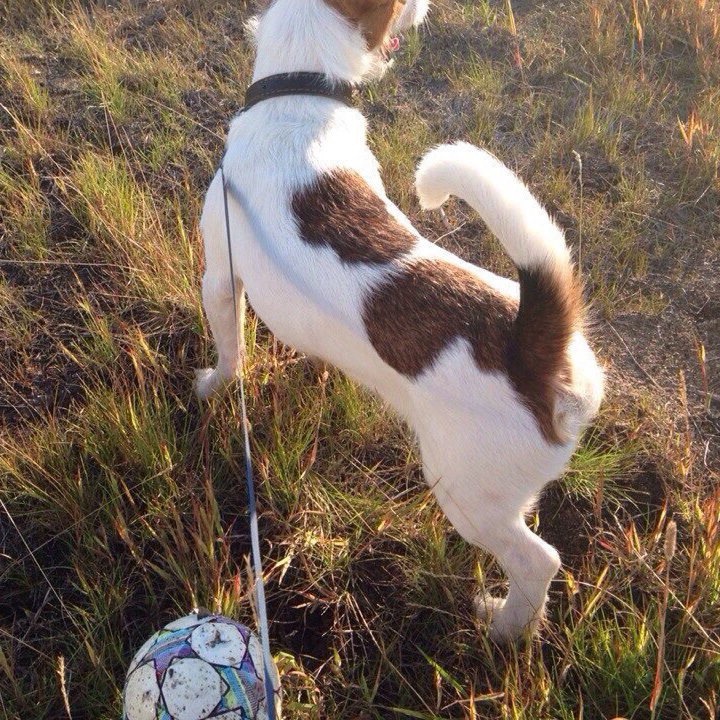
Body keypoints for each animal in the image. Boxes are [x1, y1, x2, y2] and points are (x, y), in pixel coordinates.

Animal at [195, 0, 600, 640]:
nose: (428, 8)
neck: (299, 94)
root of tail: (533, 351)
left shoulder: (219, 277)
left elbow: (230, 353)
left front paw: (212, 386)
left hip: (467, 496)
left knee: (538, 561)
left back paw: (504, 625)